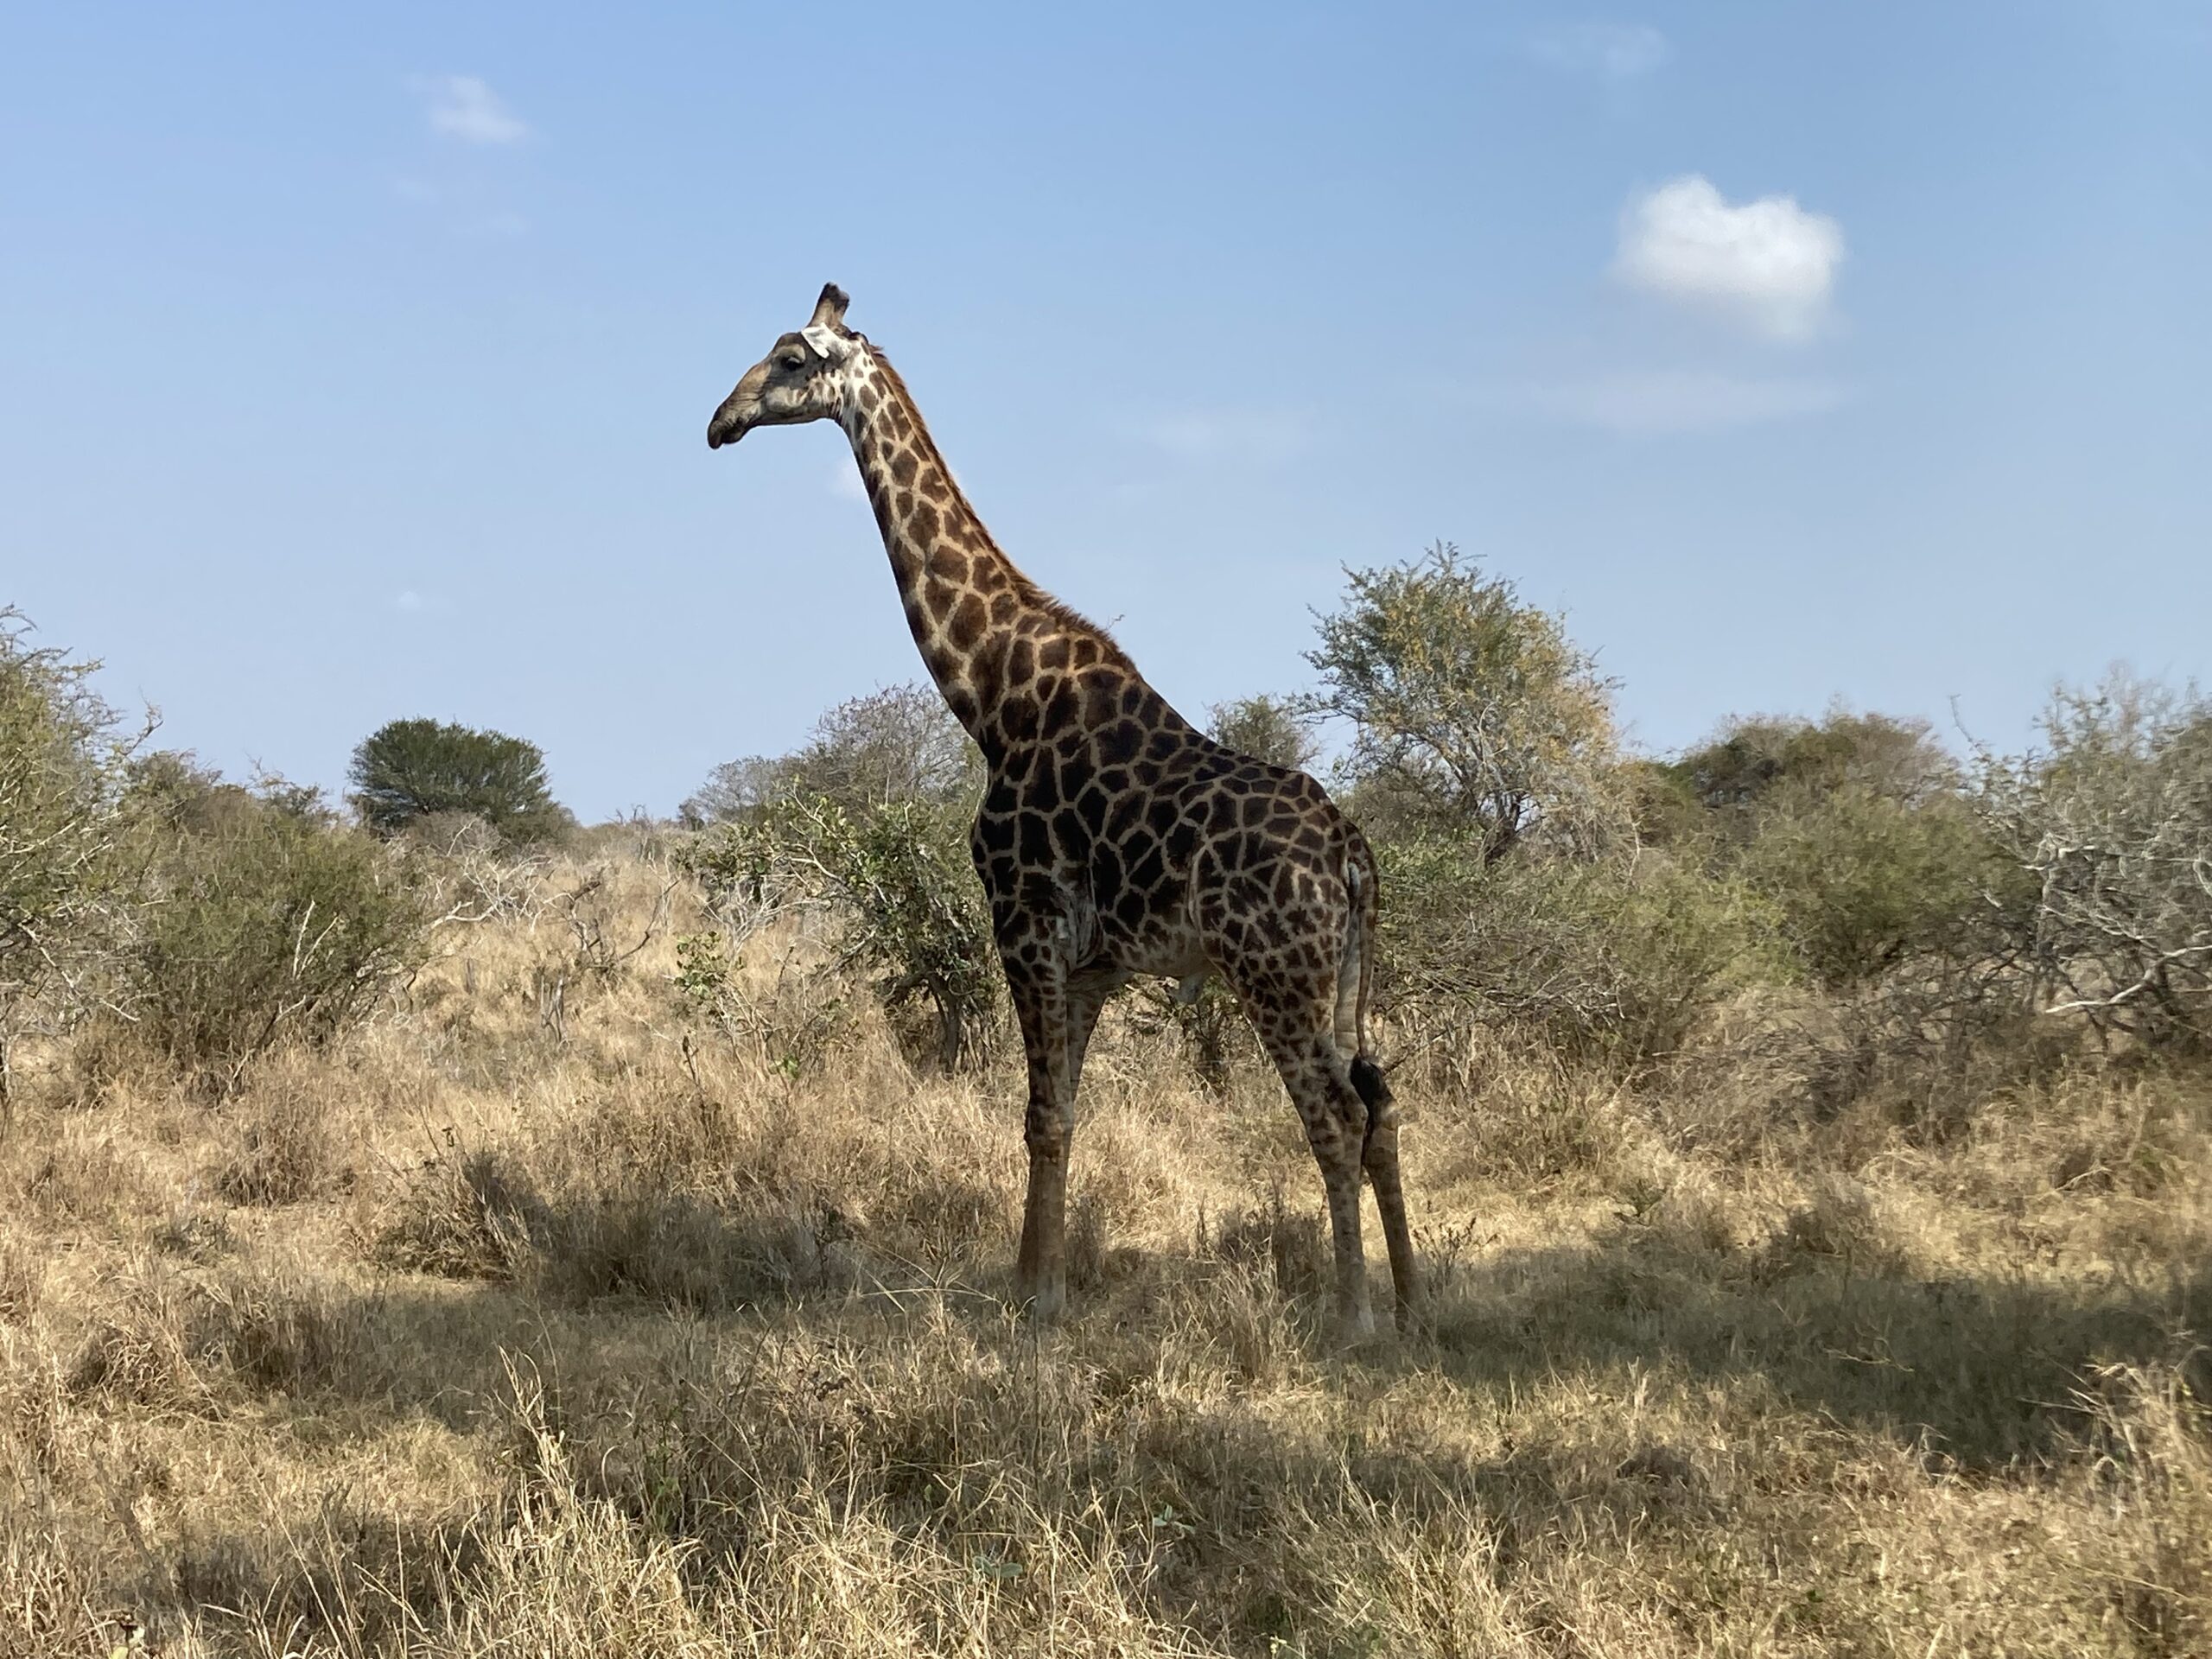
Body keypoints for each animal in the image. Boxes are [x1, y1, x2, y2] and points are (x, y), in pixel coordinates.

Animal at [708, 285, 1415, 1344]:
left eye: (791, 360)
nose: (720, 421)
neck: (993, 695)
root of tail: (1351, 853)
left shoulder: (1025, 917)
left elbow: (1040, 1113)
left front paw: (1032, 1304)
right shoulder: (1091, 963)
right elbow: (1061, 1116)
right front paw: (1036, 1286)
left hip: (1274, 972)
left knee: (1331, 1117)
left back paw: (1354, 1320)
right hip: (1342, 978)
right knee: (1379, 1103)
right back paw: (1415, 1303)